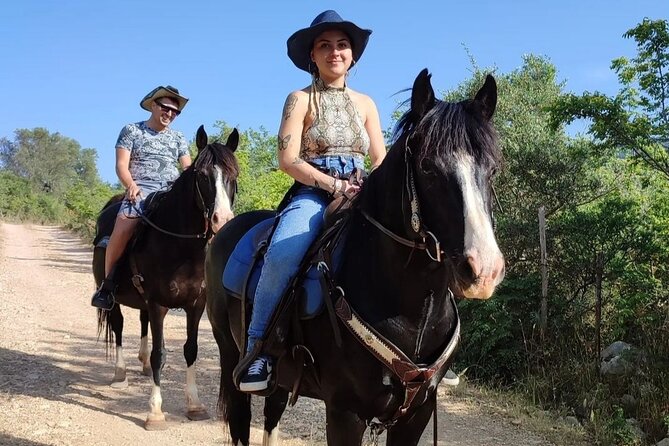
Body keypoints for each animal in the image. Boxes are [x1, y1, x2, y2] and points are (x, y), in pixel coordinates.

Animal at [91, 124, 240, 428]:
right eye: (203, 176)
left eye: (234, 176)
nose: (222, 220)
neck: (179, 246)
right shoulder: (158, 304)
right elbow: (160, 353)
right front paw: (155, 412)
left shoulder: (195, 305)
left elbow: (191, 349)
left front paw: (194, 405)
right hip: (111, 296)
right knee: (119, 326)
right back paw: (120, 374)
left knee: (142, 322)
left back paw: (143, 365)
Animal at [206, 70, 504, 446]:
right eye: (427, 167)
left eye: (492, 169)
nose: (484, 270)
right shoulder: (345, 412)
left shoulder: (417, 413)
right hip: (229, 353)